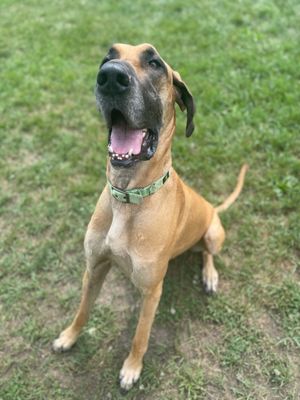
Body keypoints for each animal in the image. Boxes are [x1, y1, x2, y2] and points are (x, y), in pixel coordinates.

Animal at [52, 44, 248, 390]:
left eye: (154, 63)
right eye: (107, 57)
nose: (110, 77)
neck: (128, 197)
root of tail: (213, 207)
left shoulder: (153, 293)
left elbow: (140, 336)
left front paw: (131, 368)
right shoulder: (94, 269)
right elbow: (82, 310)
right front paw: (69, 337)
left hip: (213, 232)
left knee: (208, 253)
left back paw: (209, 275)